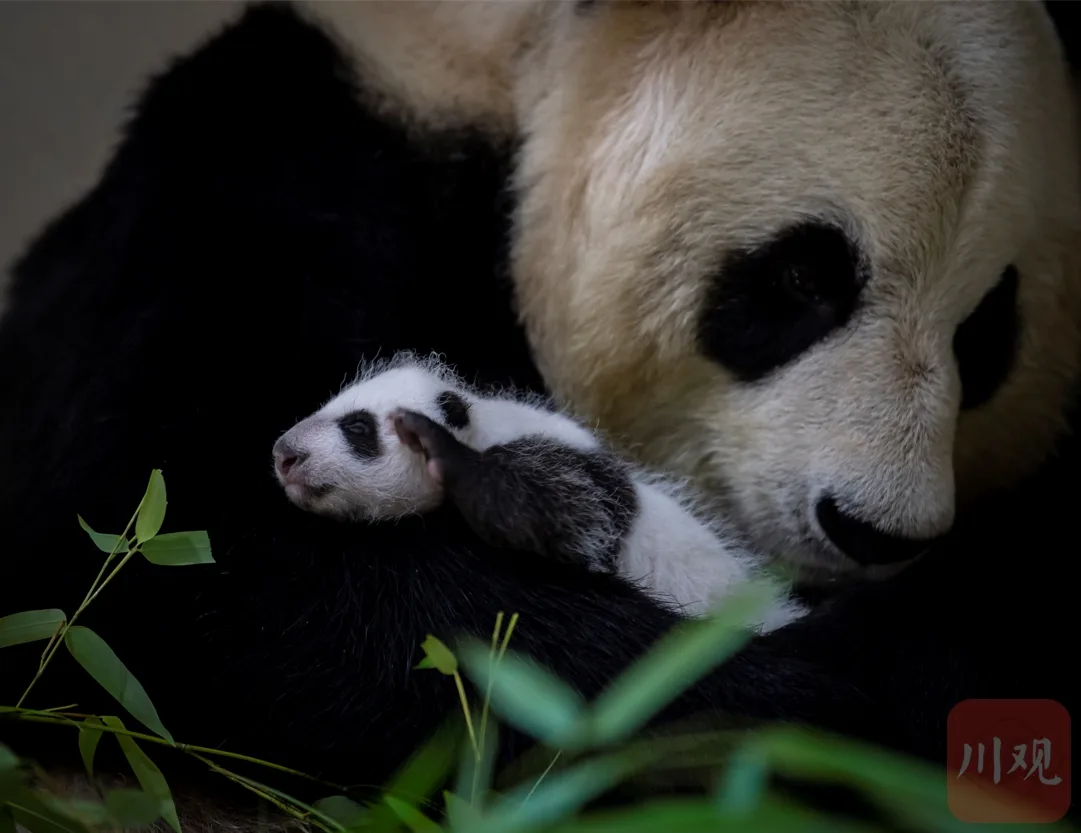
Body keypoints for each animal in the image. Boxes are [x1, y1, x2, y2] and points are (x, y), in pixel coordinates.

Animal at [270, 352, 806, 628]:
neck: (485, 423)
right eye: (333, 402)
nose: (284, 453)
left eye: (357, 428)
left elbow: (573, 518)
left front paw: (441, 448)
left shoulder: (564, 463)